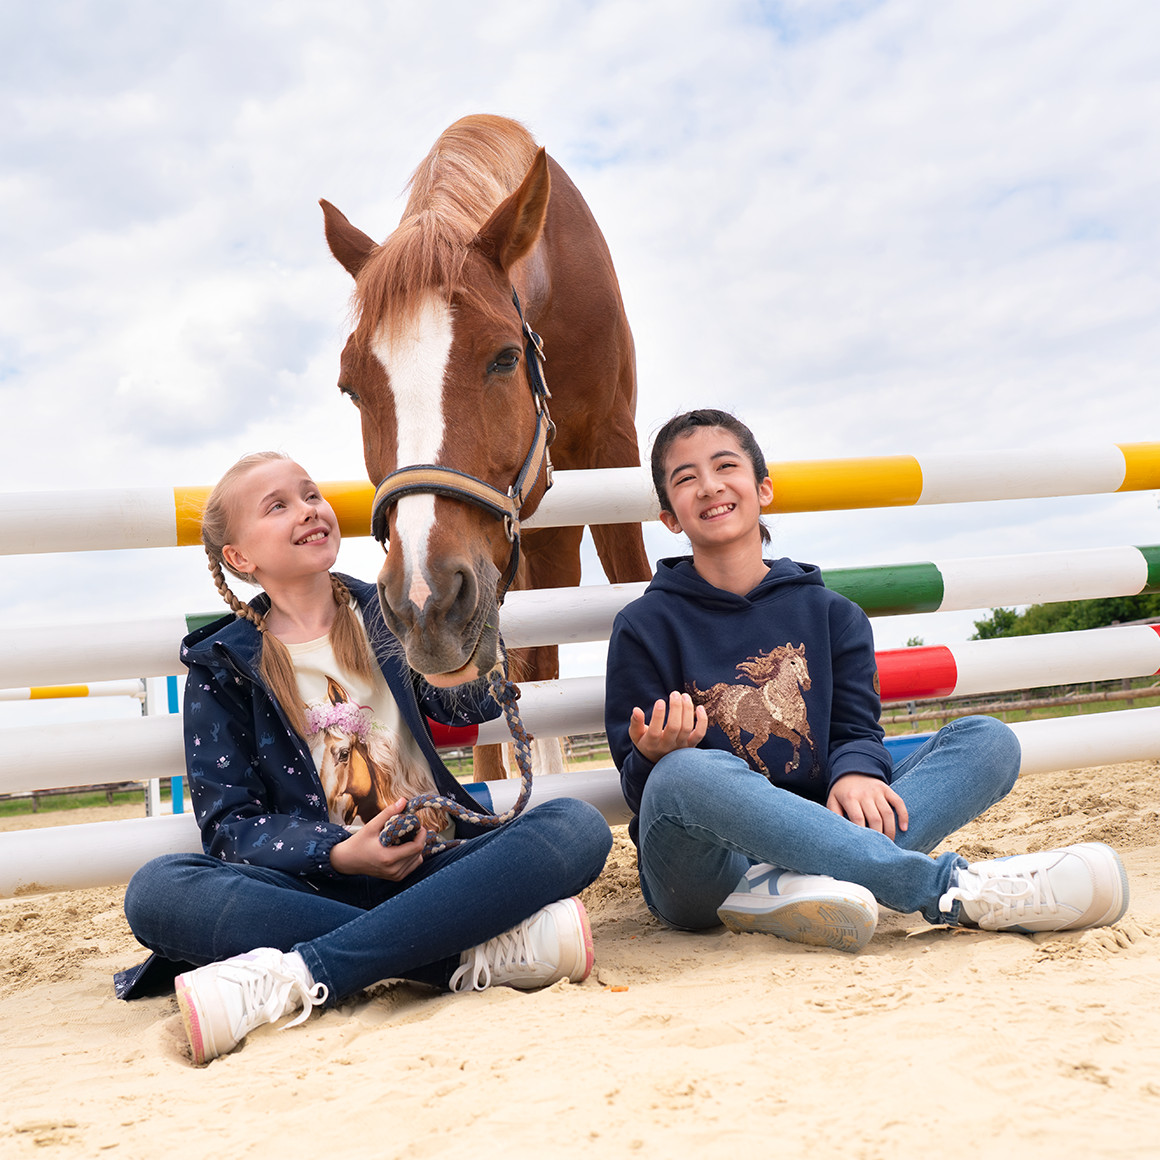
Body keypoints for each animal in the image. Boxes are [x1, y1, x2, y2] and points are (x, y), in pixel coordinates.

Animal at [689, 644, 816, 777]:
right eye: (793, 662)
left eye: (806, 661)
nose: (807, 683)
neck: (785, 698)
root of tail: (723, 692)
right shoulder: (778, 728)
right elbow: (796, 739)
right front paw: (791, 766)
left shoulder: (801, 724)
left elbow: (811, 742)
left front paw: (813, 771)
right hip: (739, 730)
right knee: (746, 748)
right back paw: (762, 771)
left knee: (746, 749)